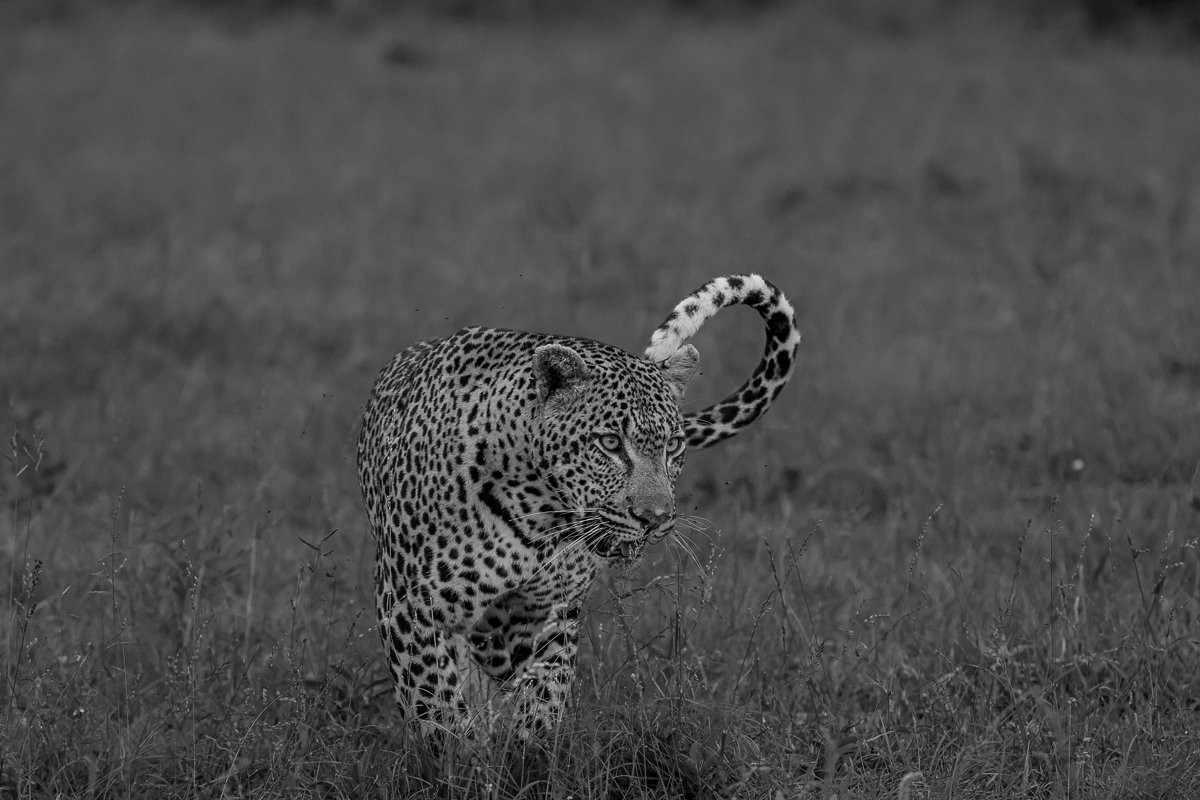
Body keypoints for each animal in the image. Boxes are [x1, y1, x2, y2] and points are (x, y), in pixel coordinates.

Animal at [357, 274, 799, 734]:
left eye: (673, 446)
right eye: (610, 443)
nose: (654, 518)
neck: (535, 513)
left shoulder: (547, 615)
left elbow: (544, 694)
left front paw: (528, 748)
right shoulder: (409, 606)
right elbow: (435, 707)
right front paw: (457, 749)